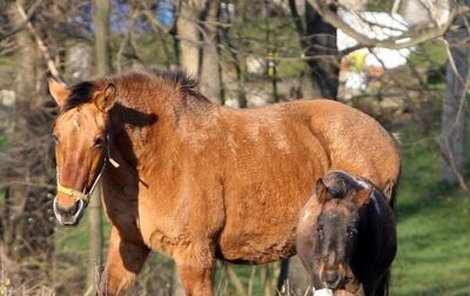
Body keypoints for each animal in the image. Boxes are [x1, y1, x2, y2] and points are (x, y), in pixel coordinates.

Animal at [46, 70, 400, 296]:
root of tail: (387, 138)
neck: (160, 155)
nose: (66, 209)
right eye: (57, 136)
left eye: (98, 139)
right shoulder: (129, 247)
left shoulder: (195, 258)